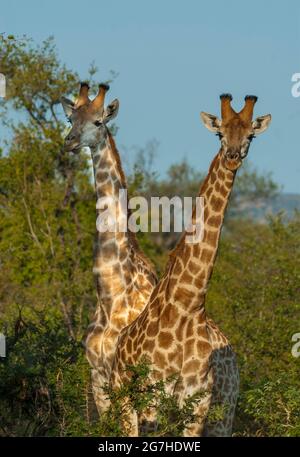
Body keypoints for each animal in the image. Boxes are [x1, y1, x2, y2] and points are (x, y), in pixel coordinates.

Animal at [61, 83, 158, 414]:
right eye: (70, 119)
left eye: (98, 121)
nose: (70, 142)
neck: (110, 295)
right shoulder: (98, 376)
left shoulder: (125, 377)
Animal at [110, 92, 272, 434]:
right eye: (219, 133)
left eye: (250, 135)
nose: (233, 156)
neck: (189, 305)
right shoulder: (152, 399)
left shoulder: (198, 404)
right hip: (122, 402)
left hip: (225, 409)